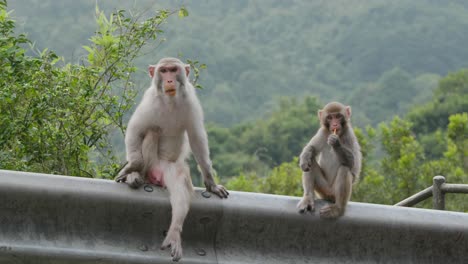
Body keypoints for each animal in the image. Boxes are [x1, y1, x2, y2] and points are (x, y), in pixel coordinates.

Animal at [115, 56, 229, 260]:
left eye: (173, 70)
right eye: (163, 70)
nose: (169, 80)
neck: (170, 101)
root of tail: (154, 174)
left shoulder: (191, 100)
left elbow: (197, 137)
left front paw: (211, 183)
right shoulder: (149, 101)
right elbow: (135, 131)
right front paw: (131, 169)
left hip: (167, 167)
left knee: (180, 181)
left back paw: (174, 231)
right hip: (152, 163)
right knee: (151, 131)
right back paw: (137, 175)